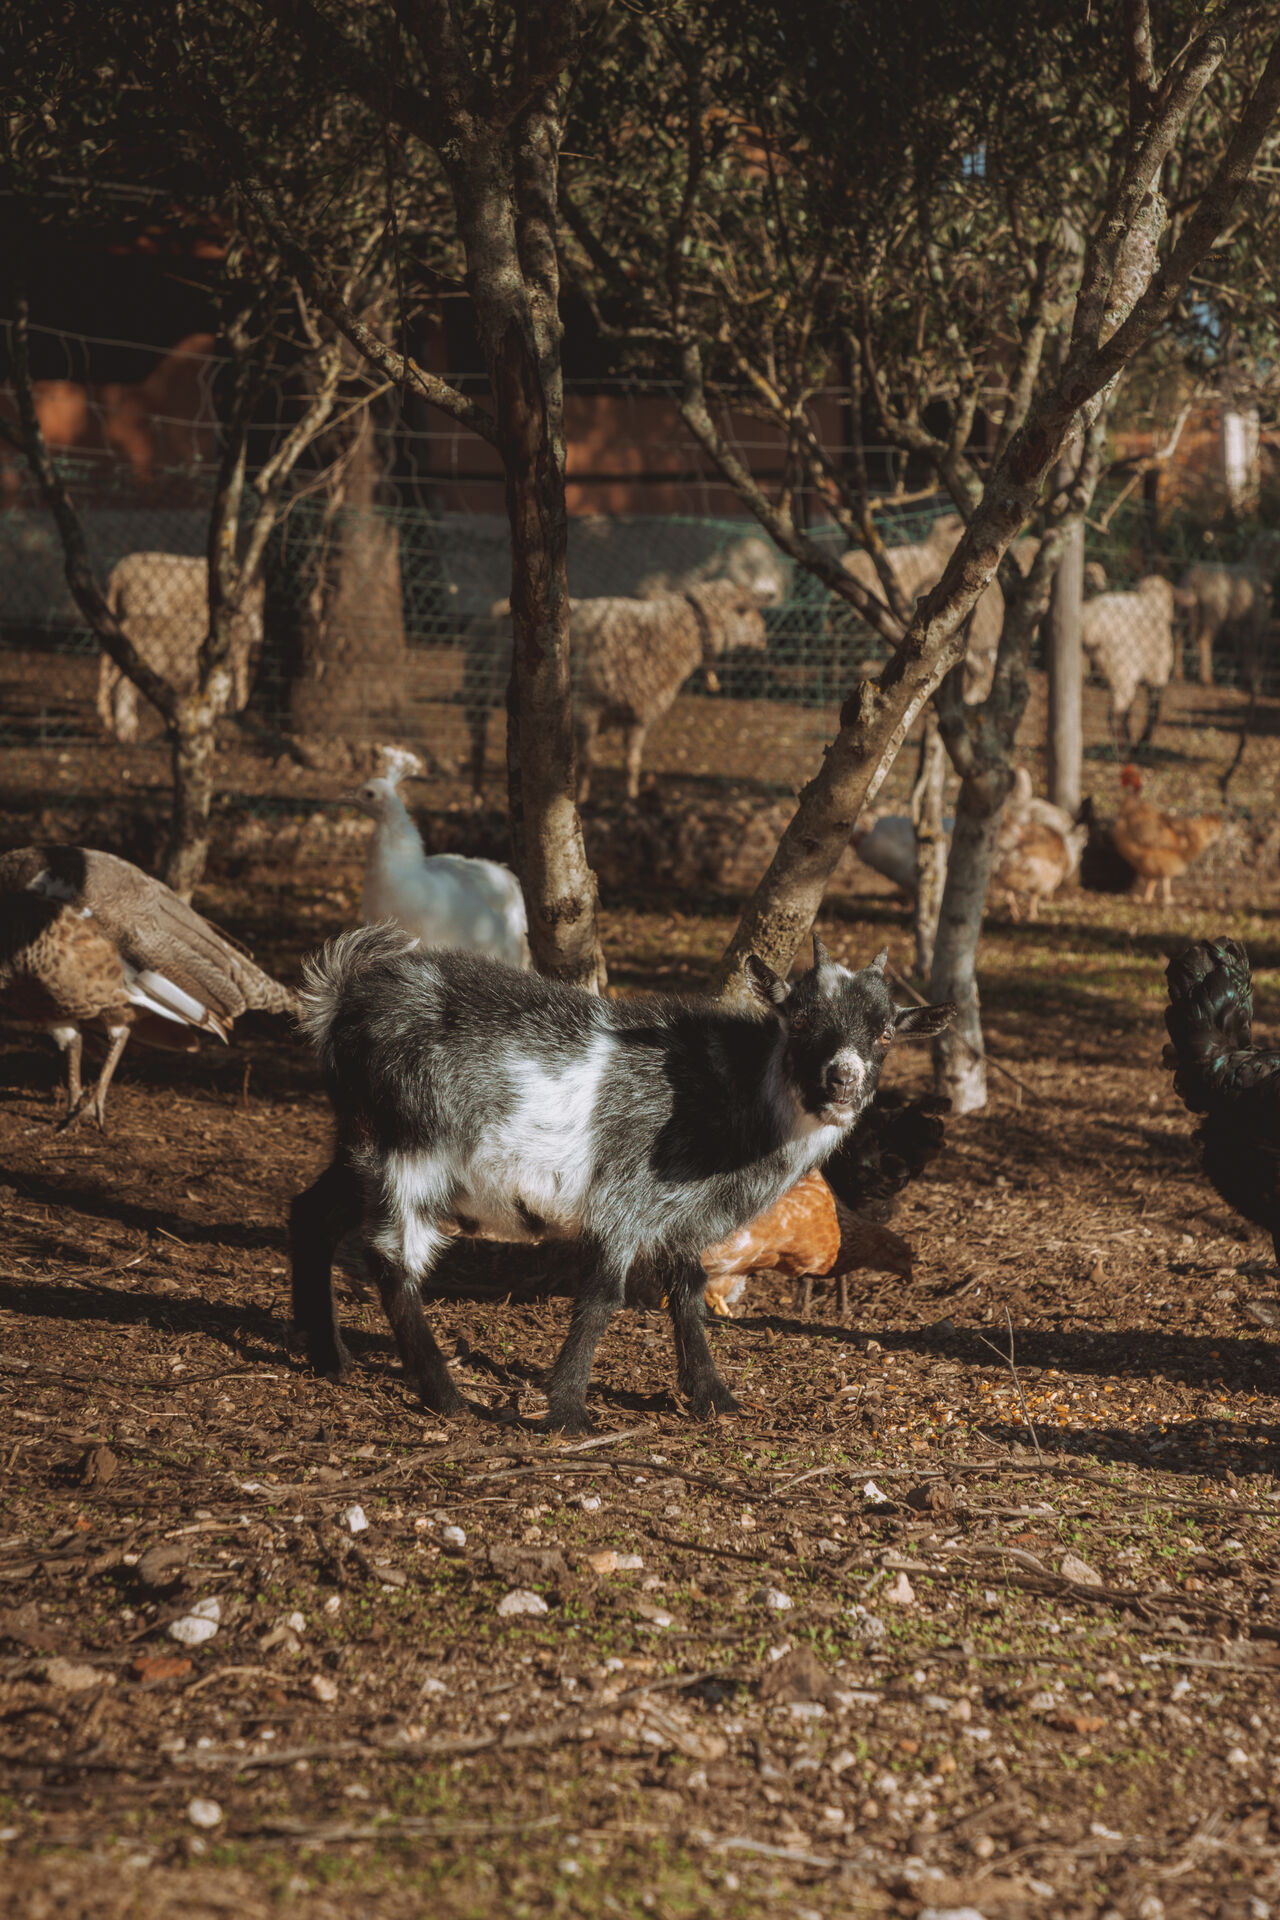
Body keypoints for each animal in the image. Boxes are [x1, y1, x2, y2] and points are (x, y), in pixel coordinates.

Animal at [289, 927, 954, 1432]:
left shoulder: (683, 1217)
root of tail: (344, 998)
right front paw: (567, 1413)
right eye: (801, 1016)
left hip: (360, 1143)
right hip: (411, 1150)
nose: (842, 1080)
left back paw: (328, 1356)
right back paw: (443, 1394)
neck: (731, 1095)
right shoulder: (625, 1201)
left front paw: (713, 1398)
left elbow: (687, 1294)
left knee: (311, 1212)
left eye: (886, 1033)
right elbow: (603, 1296)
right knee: (391, 1259)